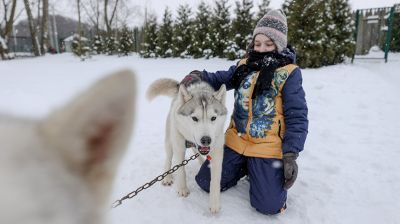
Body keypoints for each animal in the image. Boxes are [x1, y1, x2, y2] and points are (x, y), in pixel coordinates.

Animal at [147, 79, 228, 214]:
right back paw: (167, 177)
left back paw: (202, 161)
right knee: (169, 157)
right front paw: (182, 189)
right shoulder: (179, 147)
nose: (206, 140)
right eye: (194, 118)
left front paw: (214, 203)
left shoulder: (217, 152)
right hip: (170, 139)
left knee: (196, 151)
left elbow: (215, 181)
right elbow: (181, 171)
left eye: (213, 118)